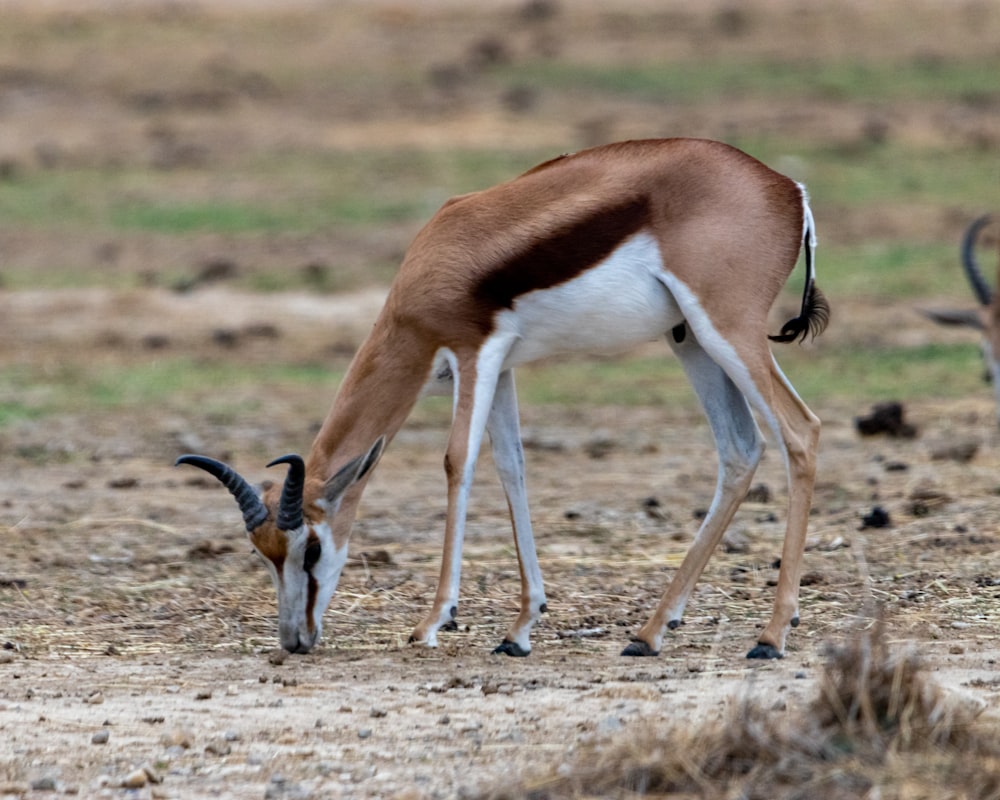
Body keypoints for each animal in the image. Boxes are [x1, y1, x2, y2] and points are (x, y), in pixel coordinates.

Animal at [178, 139, 828, 664]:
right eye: (263, 554)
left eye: (310, 548)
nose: (295, 640)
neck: (430, 266)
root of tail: (786, 187)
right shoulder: (504, 367)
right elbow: (512, 466)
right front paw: (519, 629)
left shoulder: (474, 353)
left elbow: (457, 462)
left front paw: (432, 623)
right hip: (688, 338)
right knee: (740, 450)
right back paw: (648, 634)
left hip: (728, 330)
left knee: (801, 431)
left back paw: (770, 637)